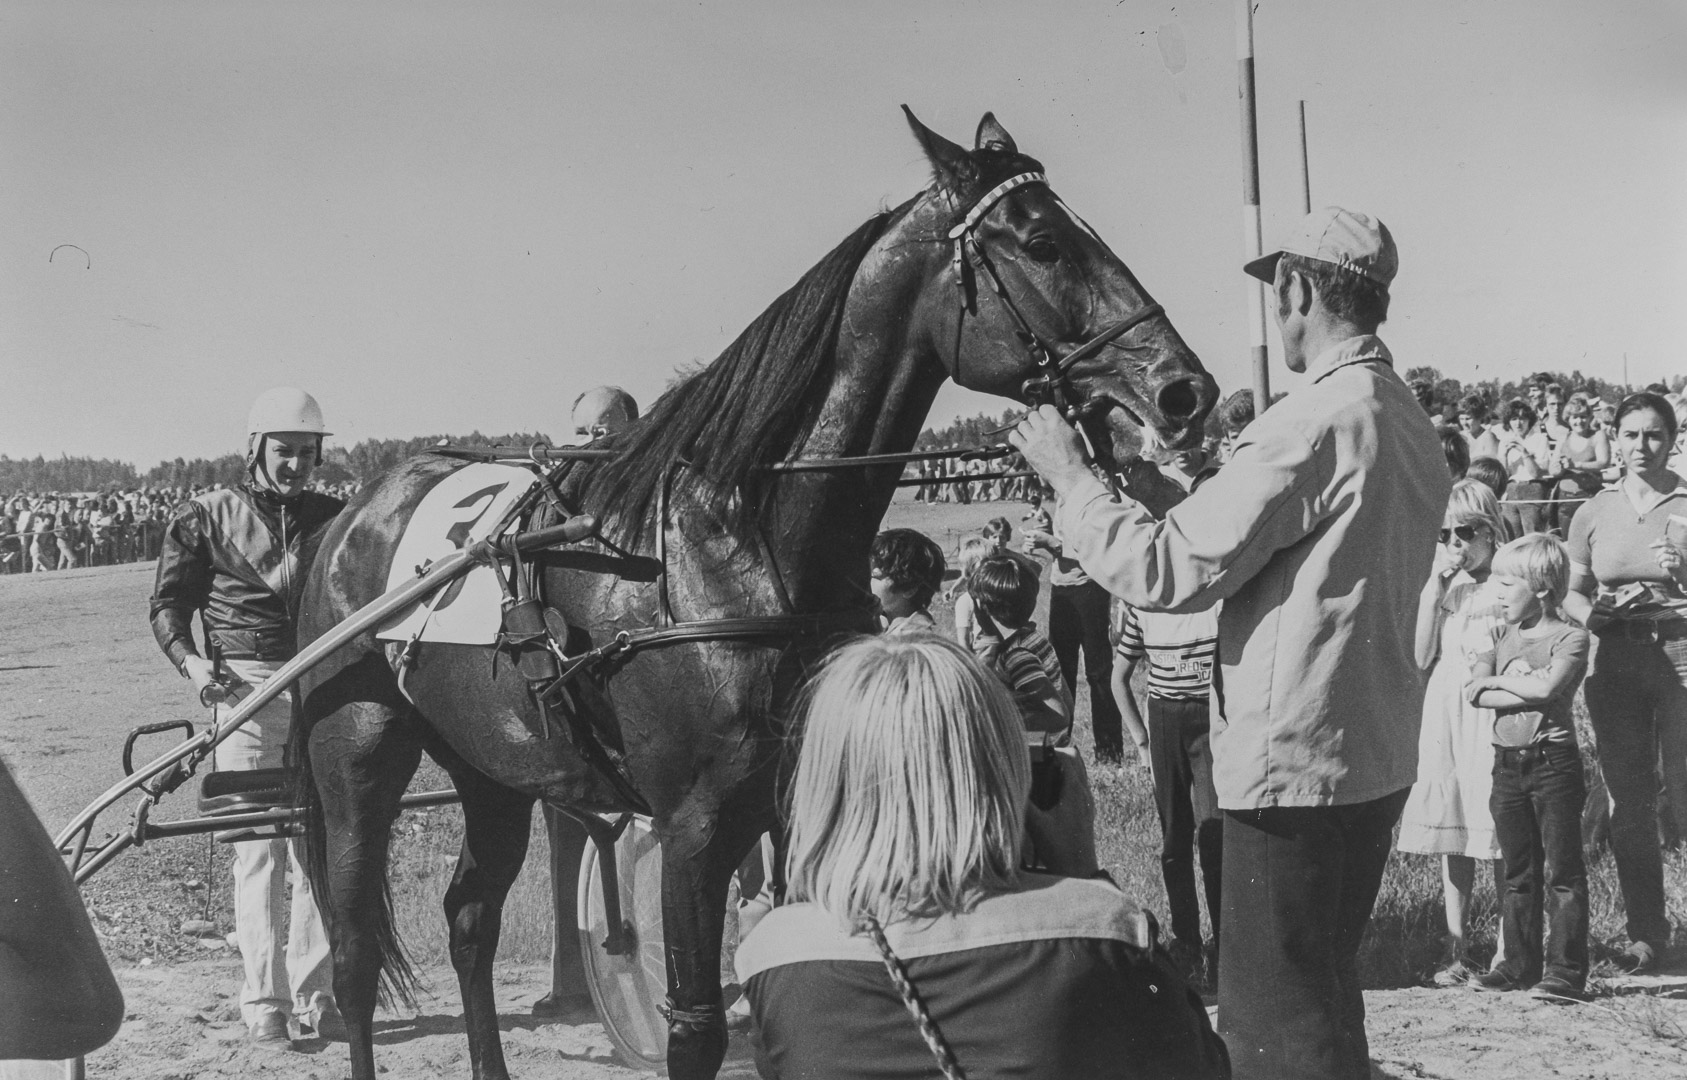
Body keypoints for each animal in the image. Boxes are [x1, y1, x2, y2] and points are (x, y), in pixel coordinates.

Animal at [293, 107, 1214, 1080]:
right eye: (1042, 242)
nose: (1183, 387)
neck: (738, 540)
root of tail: (350, 515)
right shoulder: (693, 826)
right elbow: (696, 1025)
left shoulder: (805, 798)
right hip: (356, 754)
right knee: (354, 952)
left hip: (490, 767)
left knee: (469, 921)